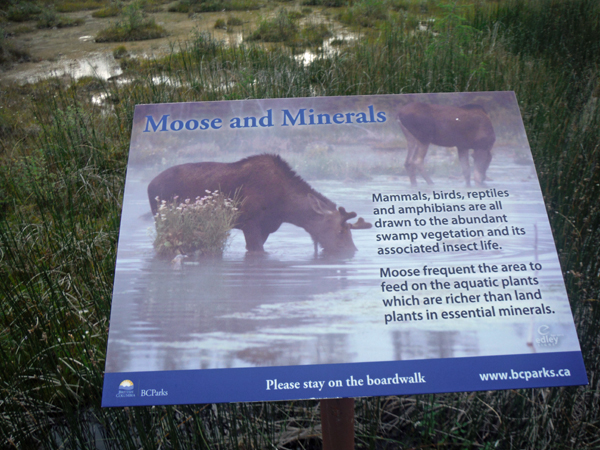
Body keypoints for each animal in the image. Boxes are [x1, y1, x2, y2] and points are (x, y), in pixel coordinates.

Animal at [147, 154, 370, 253]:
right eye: (340, 231)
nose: (352, 251)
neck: (286, 209)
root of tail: (149, 185)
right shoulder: (250, 223)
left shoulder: (267, 228)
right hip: (161, 220)